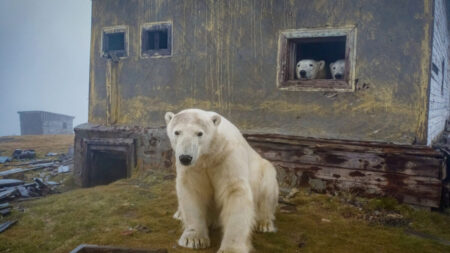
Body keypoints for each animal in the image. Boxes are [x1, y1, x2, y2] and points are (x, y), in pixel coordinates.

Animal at [165, 108, 278, 253]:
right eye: (177, 132)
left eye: (199, 133)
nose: (185, 157)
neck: (208, 155)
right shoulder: (194, 167)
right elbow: (192, 190)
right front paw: (194, 239)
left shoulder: (227, 156)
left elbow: (234, 191)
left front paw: (231, 248)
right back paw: (179, 214)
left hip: (264, 171)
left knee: (267, 189)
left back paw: (264, 223)